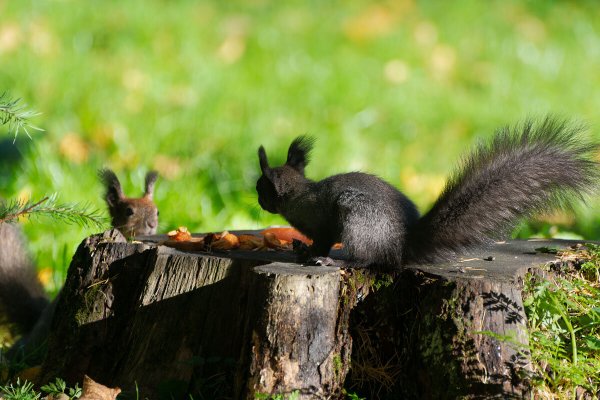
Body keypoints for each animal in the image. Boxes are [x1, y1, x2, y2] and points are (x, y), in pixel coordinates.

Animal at [255, 118, 596, 268]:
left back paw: (339, 263)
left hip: (359, 219)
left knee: (367, 259)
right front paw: (302, 250)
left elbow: (323, 241)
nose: (258, 200)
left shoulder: (322, 223)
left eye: (260, 187)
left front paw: (311, 253)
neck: (299, 194)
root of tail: (400, 247)